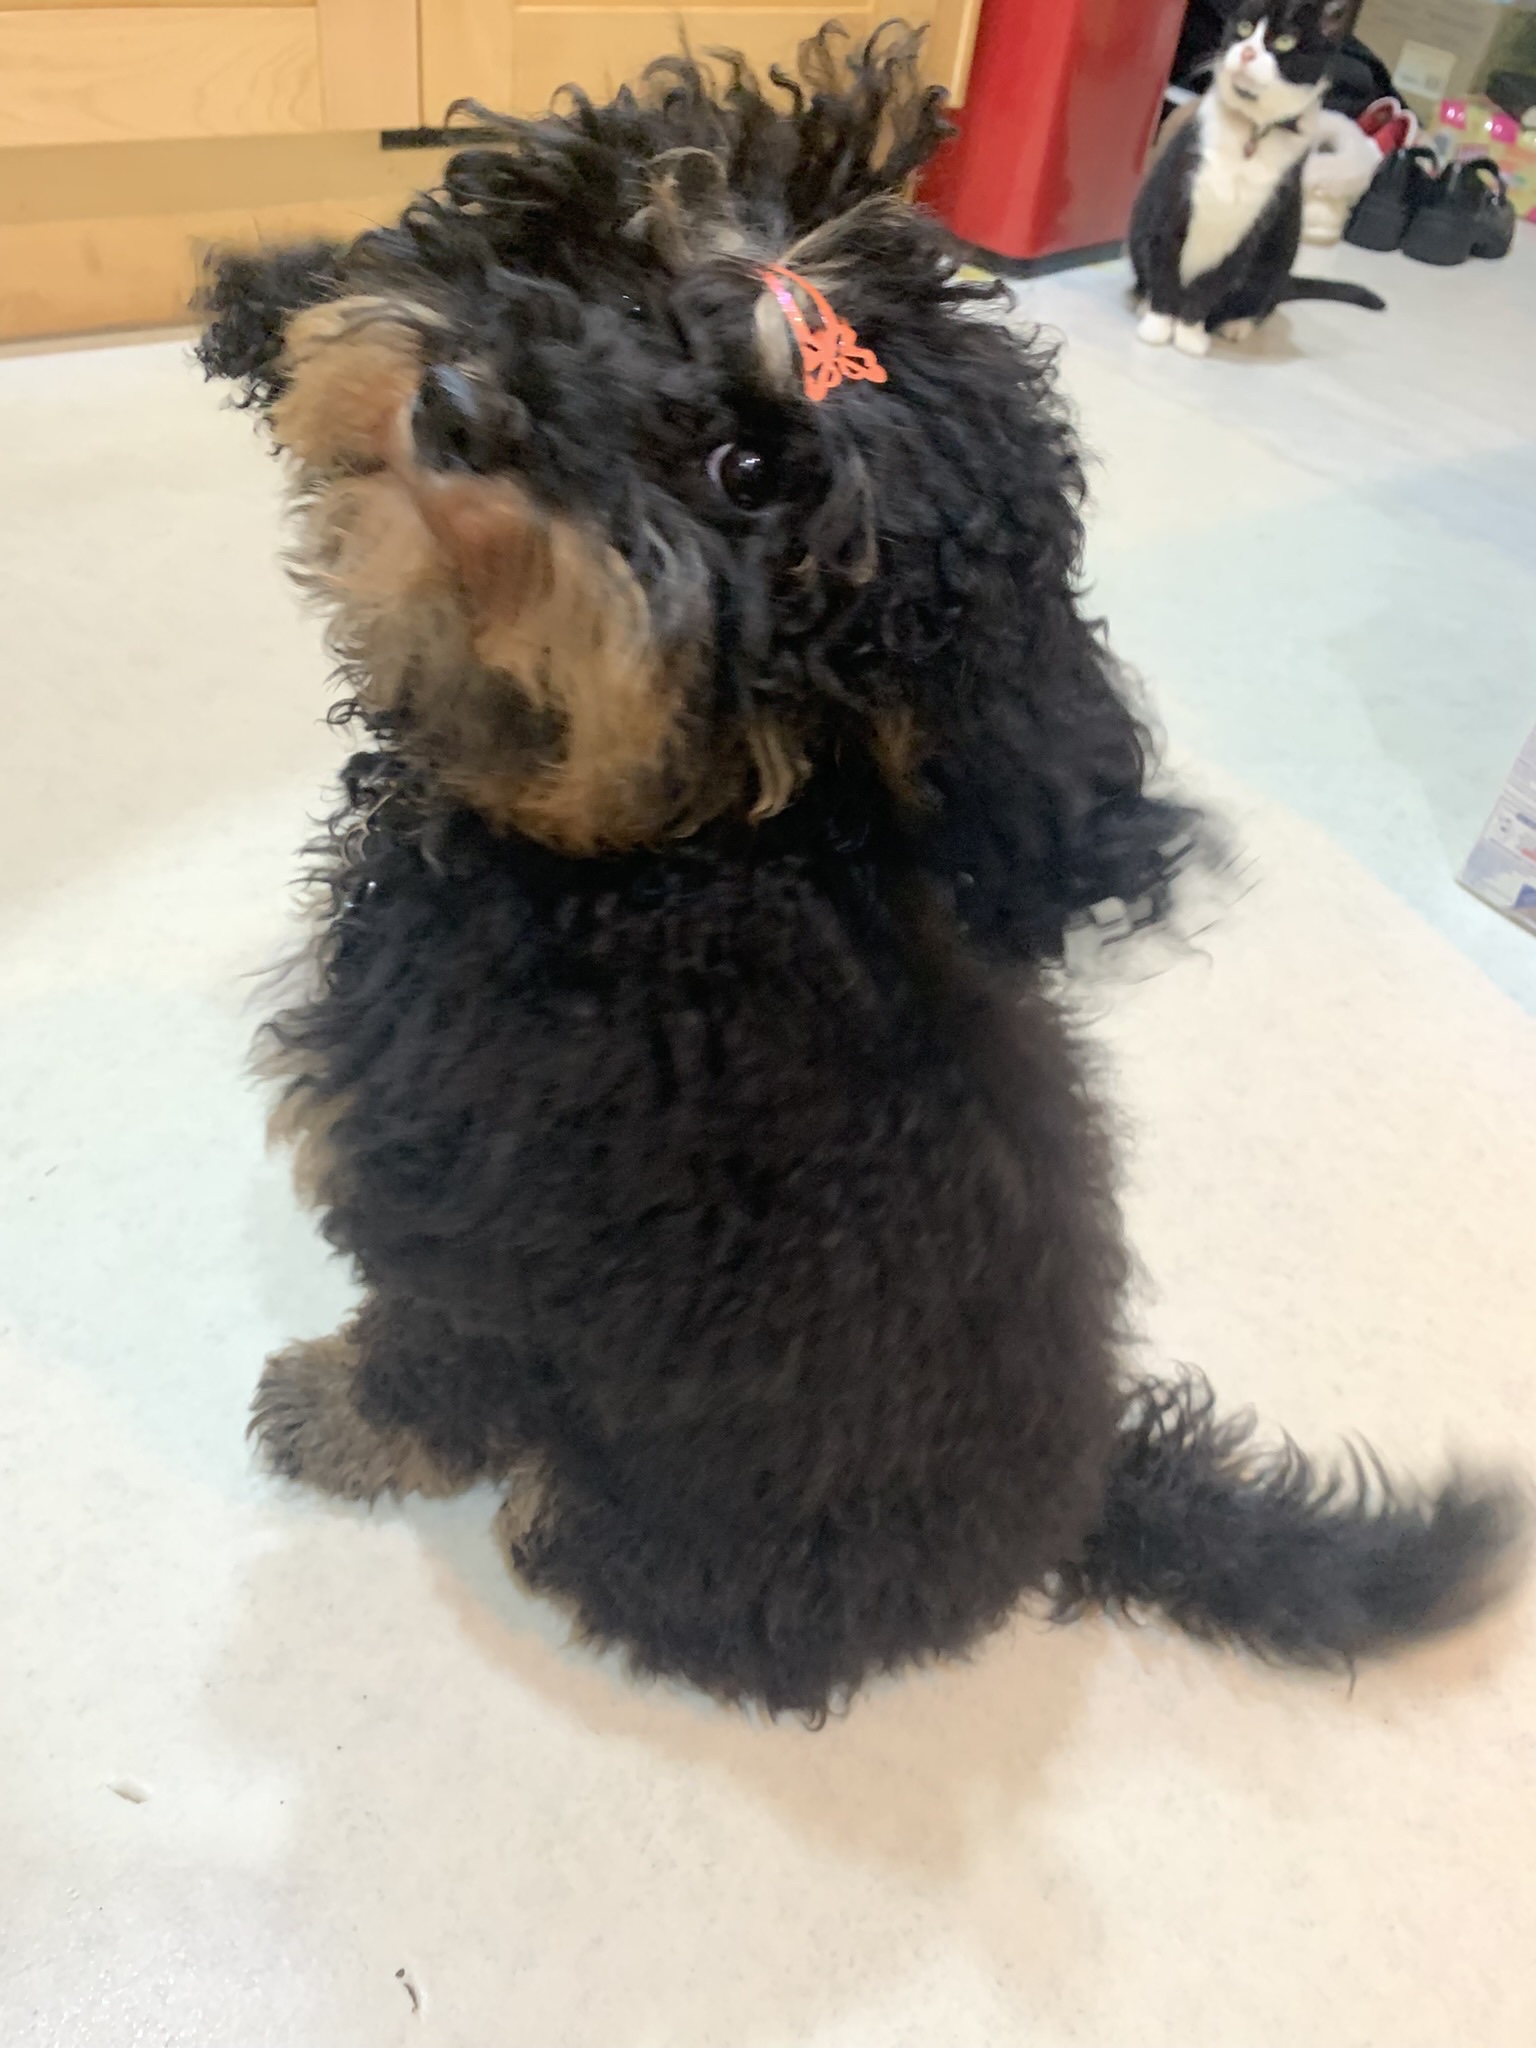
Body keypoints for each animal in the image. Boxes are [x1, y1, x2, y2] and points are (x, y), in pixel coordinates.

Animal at [1130, 3, 1384, 356]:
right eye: (1245, 27)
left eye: (1286, 41)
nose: (1248, 51)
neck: (1250, 133)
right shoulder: (1173, 199)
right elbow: (1165, 261)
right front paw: (1158, 324)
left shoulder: (1256, 223)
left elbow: (1213, 283)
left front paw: (1190, 335)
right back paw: (1145, 301)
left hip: (1281, 251)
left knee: (1264, 300)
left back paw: (1237, 325)